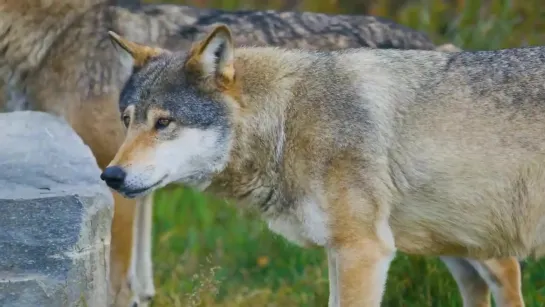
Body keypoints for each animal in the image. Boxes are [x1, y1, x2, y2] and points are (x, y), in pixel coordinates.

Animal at [0, 0, 520, 306]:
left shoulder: (112, 176)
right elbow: (141, 283)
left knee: (506, 267)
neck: (53, 35)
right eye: (129, 119)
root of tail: (441, 45)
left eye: (163, 122)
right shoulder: (128, 175)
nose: (110, 177)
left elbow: (117, 284)